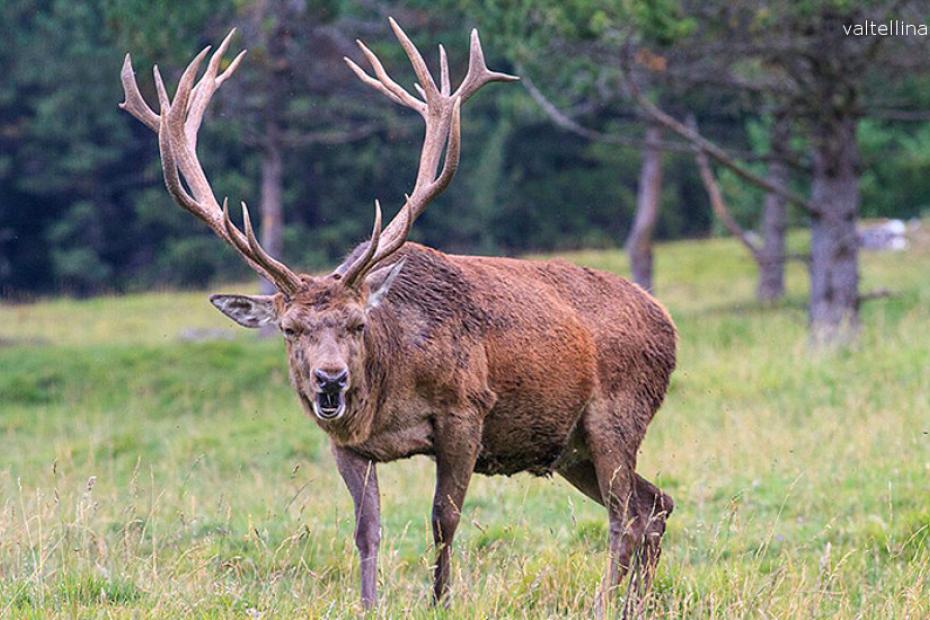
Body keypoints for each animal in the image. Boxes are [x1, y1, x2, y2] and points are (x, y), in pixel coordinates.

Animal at [119, 19, 677, 613]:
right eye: (290, 329)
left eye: (358, 323)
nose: (331, 379)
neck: (390, 393)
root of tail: (667, 323)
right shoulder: (345, 442)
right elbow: (367, 530)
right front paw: (368, 603)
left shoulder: (466, 411)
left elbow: (443, 520)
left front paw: (440, 602)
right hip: (571, 449)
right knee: (656, 504)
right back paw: (637, 603)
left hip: (615, 417)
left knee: (625, 515)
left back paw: (608, 603)